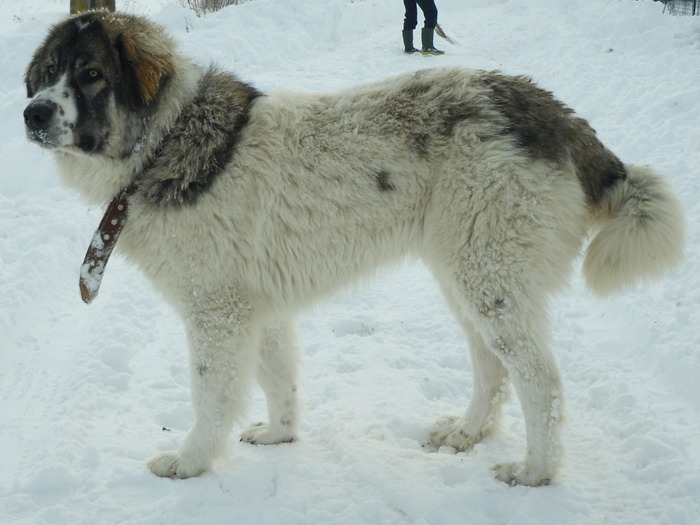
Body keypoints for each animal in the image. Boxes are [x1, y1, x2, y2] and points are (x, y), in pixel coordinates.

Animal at [23, 11, 684, 488]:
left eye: (91, 74)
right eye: (49, 71)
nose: (32, 113)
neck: (165, 139)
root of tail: (548, 109)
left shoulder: (217, 313)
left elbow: (211, 395)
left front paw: (190, 462)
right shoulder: (257, 309)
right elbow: (280, 378)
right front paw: (281, 436)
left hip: (488, 278)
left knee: (541, 382)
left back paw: (536, 470)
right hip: (466, 276)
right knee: (492, 368)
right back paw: (467, 433)